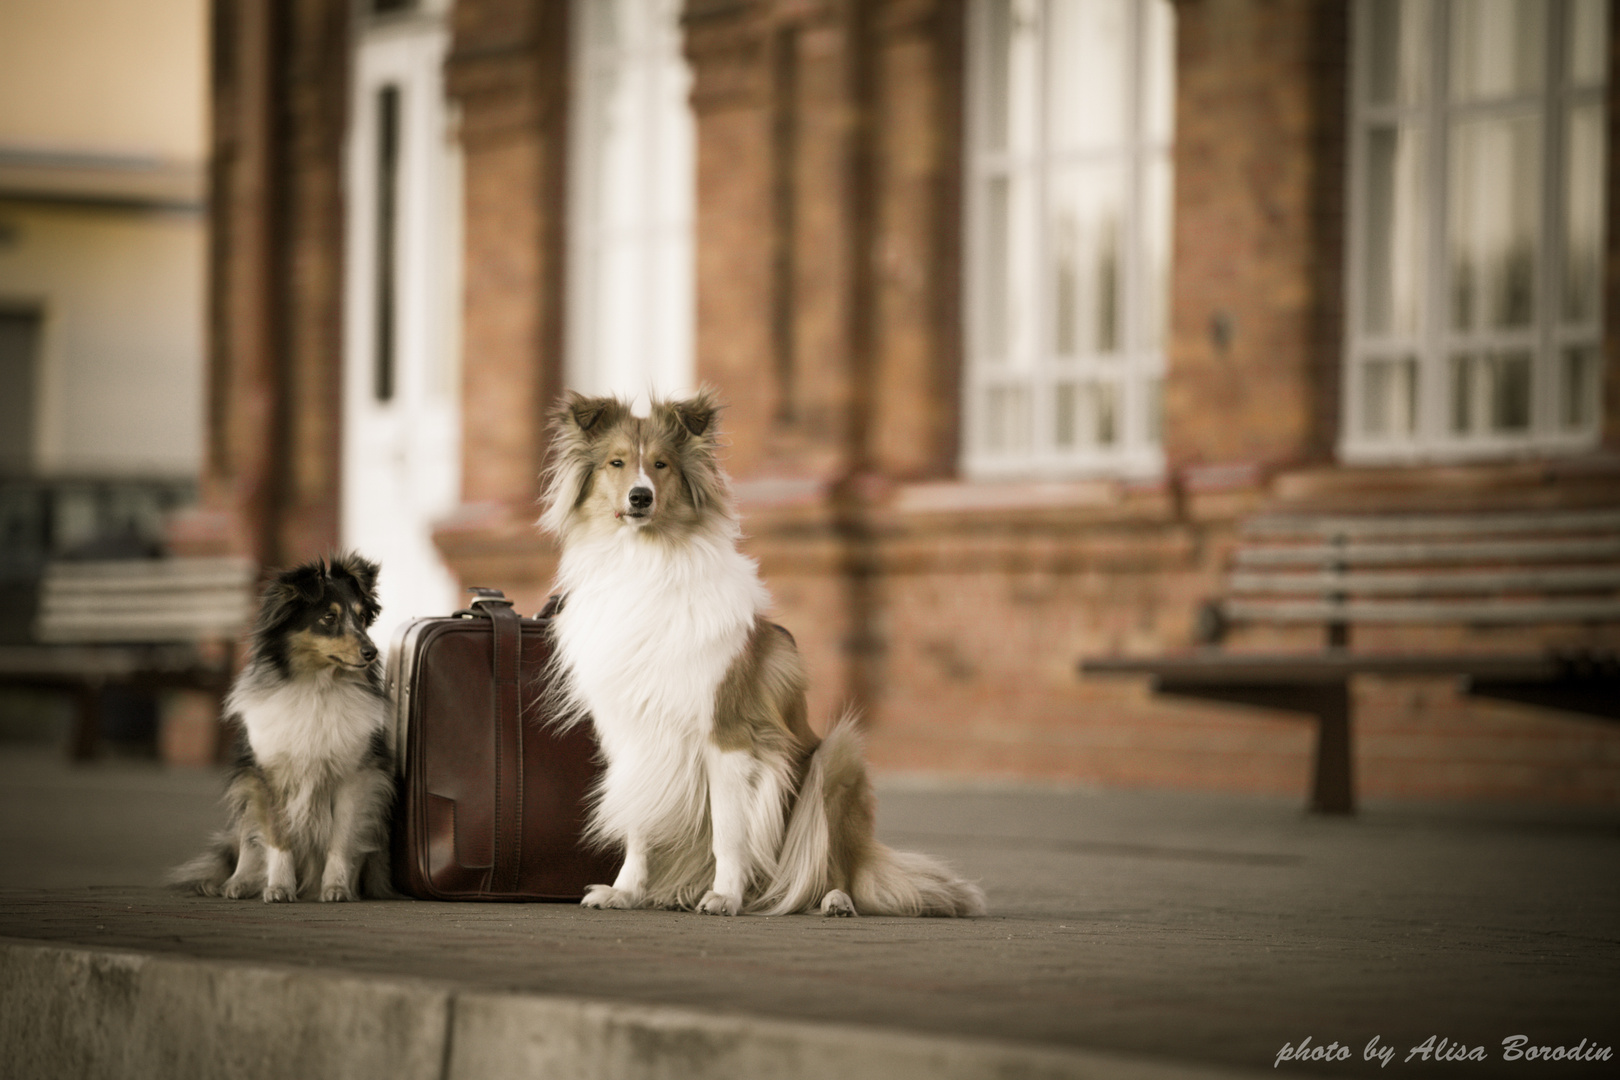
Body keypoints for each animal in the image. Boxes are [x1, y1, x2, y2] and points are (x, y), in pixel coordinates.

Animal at [170, 557, 395, 906]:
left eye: (361, 617)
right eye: (329, 618)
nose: (370, 652)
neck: (317, 687)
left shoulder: (355, 778)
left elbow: (341, 839)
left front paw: (337, 888)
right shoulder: (270, 776)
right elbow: (277, 838)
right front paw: (278, 887)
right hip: (247, 788)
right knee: (246, 841)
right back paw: (238, 883)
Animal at [544, 393, 984, 919]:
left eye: (661, 465)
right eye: (617, 463)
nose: (640, 497)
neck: (645, 560)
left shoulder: (729, 735)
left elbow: (730, 833)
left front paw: (725, 896)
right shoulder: (632, 736)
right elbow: (639, 823)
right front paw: (625, 891)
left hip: (836, 760)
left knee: (831, 867)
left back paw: (831, 901)